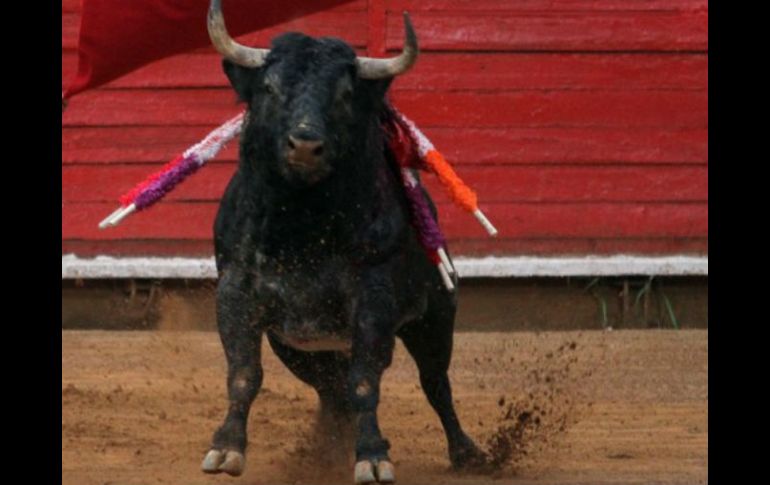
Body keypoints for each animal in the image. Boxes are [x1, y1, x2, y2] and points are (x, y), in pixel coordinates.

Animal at [201, 18, 484, 480]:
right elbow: (243, 372)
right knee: (332, 393)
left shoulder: (373, 298)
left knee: (435, 382)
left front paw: (372, 456)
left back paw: (465, 453)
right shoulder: (237, 289)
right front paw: (226, 449)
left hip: (436, 317)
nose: (304, 144)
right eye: (270, 88)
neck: (302, 222)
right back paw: (327, 448)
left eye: (345, 94)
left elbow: (365, 381)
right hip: (299, 348)